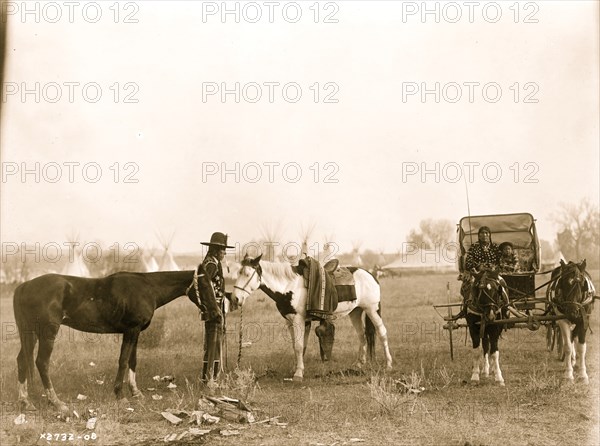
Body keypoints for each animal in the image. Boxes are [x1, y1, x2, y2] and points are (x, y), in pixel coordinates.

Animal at [13, 264, 220, 414]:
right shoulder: (131, 330)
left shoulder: (136, 332)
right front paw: (120, 395)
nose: (217, 314)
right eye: (204, 286)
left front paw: (136, 392)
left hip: (30, 333)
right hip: (47, 333)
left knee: (22, 360)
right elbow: (123, 360)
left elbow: (132, 361)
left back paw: (25, 401)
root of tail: (25, 286)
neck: (147, 288)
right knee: (42, 362)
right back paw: (56, 402)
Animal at [231, 254, 394, 380]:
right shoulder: (290, 321)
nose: (235, 298)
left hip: (372, 310)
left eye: (247, 274)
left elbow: (298, 346)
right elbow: (298, 346)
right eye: (237, 273)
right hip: (356, 312)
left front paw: (298, 374)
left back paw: (388, 364)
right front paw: (297, 368)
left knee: (382, 333)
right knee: (362, 335)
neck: (289, 286)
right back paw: (360, 364)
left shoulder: (298, 320)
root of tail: (371, 274)